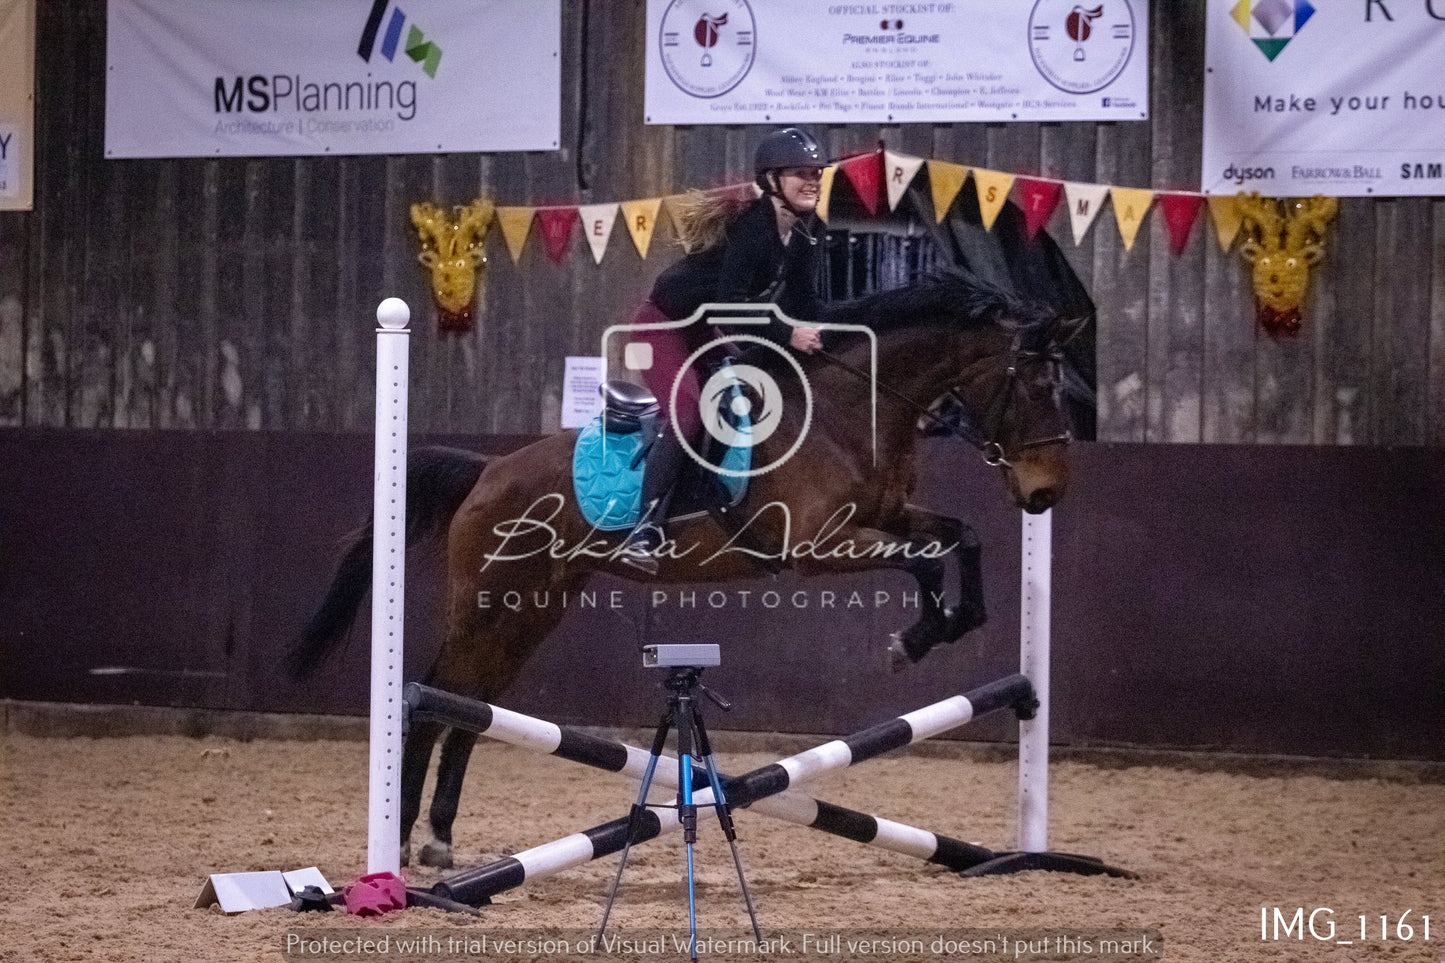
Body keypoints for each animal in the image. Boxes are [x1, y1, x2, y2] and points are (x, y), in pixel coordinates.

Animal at [287, 267, 1080, 861]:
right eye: (1038, 386)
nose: (1045, 494)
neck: (851, 411)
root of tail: (488, 470)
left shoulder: (886, 517)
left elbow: (962, 537)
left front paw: (953, 624)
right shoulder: (818, 547)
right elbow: (925, 562)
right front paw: (911, 640)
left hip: (531, 613)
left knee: (470, 708)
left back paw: (441, 838)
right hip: (487, 602)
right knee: (433, 697)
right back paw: (401, 841)